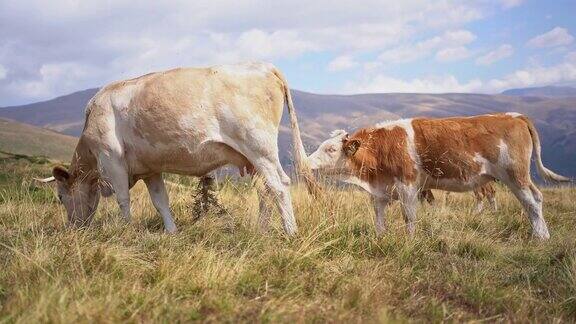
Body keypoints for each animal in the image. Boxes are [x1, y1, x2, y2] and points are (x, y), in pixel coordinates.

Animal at [35, 62, 320, 235]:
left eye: (60, 196)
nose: (73, 228)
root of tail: (263, 65)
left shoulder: (112, 158)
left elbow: (123, 199)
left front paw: (126, 230)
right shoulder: (150, 168)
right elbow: (161, 201)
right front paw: (171, 232)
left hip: (260, 147)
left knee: (279, 186)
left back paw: (291, 232)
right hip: (250, 158)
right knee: (265, 191)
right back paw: (260, 231)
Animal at [308, 112, 568, 239]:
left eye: (330, 149)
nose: (307, 162)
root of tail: (514, 116)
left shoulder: (408, 185)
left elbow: (409, 217)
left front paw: (410, 241)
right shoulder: (382, 190)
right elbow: (379, 218)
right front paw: (380, 239)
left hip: (515, 175)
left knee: (531, 202)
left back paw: (541, 237)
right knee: (537, 198)